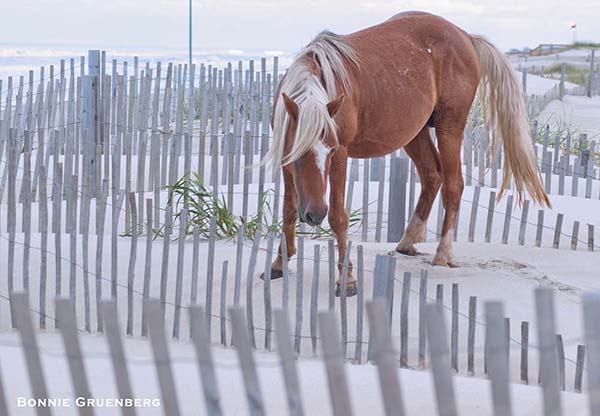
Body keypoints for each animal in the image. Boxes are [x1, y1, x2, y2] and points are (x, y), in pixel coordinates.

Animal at [262, 10, 548, 296]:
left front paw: (347, 278)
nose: (314, 213)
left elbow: (338, 217)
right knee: (432, 175)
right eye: (298, 154)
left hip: (449, 126)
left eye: (330, 152)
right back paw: (408, 241)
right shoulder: (286, 162)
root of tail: (465, 36)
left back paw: (443, 253)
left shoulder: (341, 155)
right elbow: (288, 210)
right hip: (415, 132)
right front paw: (279, 263)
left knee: (453, 185)